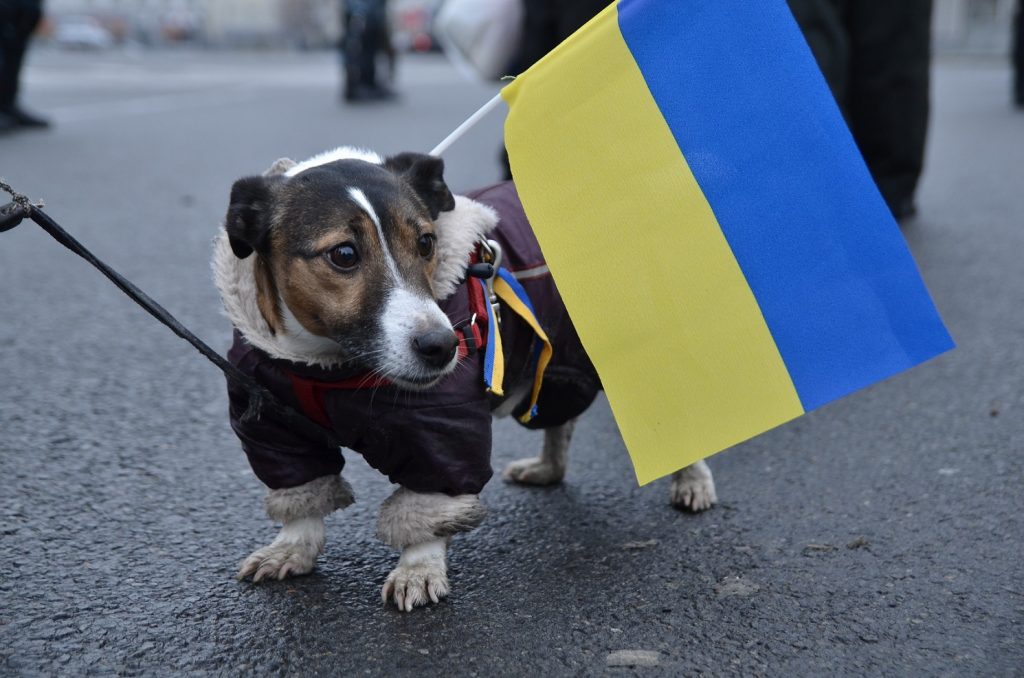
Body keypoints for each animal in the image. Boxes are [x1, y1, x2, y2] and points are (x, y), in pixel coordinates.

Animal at [211, 146, 716, 614]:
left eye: (426, 243)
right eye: (344, 254)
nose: (443, 347)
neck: (326, 366)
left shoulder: (440, 432)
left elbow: (430, 501)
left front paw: (418, 569)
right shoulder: (273, 425)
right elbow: (302, 493)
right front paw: (292, 547)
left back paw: (691, 480)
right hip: (556, 364)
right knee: (560, 417)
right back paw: (547, 468)